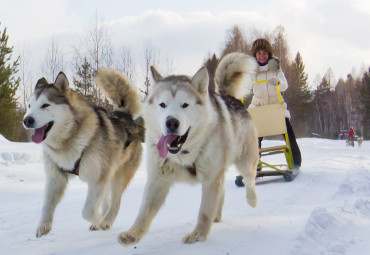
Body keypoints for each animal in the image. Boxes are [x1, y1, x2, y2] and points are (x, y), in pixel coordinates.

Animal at [22, 69, 142, 237]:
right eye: (29, 106)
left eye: (45, 105)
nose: (27, 120)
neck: (68, 140)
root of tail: (124, 115)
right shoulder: (55, 177)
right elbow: (47, 205)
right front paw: (43, 225)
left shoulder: (97, 178)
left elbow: (87, 211)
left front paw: (99, 220)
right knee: (107, 202)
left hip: (118, 176)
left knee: (115, 203)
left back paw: (106, 221)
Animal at [118, 51, 260, 245]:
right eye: (162, 104)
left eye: (185, 104)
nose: (171, 122)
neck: (184, 153)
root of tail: (230, 98)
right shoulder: (157, 179)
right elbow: (144, 213)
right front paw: (133, 233)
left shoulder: (210, 180)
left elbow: (204, 213)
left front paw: (198, 236)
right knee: (223, 191)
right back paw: (217, 215)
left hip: (246, 161)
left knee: (250, 180)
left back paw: (252, 200)